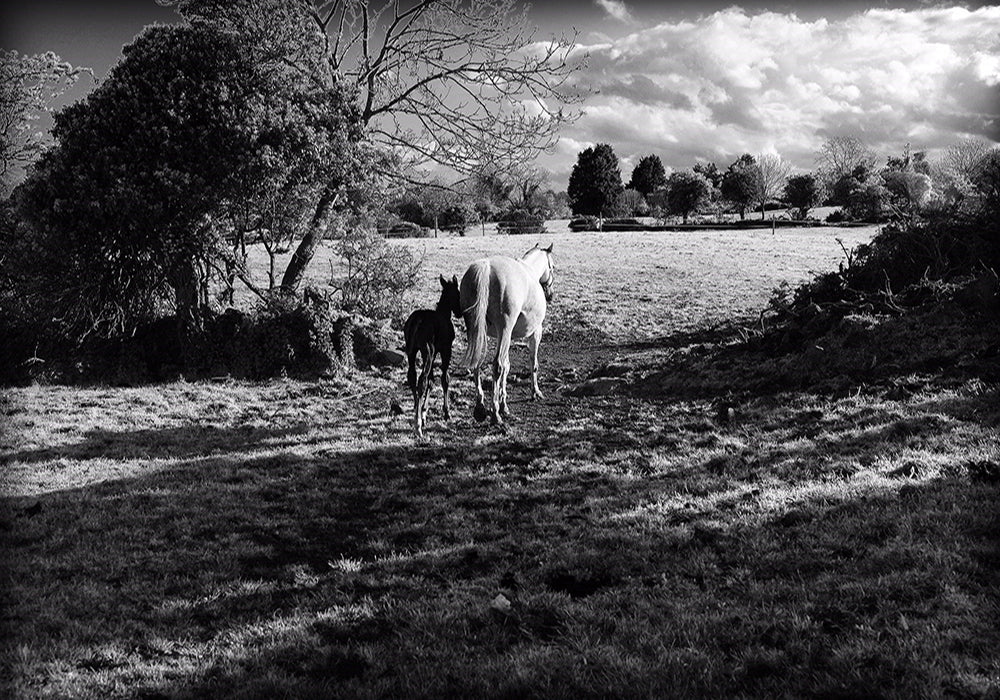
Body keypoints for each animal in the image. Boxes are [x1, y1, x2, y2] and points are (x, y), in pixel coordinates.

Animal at [403, 275, 462, 438]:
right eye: (458, 293)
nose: (460, 312)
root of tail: (417, 321)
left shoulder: (434, 352)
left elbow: (431, 380)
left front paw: (424, 412)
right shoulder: (445, 350)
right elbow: (444, 379)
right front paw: (447, 412)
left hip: (412, 351)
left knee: (413, 377)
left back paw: (416, 412)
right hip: (427, 351)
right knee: (421, 381)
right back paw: (417, 425)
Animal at [460, 243, 554, 425]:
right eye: (552, 267)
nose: (550, 294)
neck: (530, 270)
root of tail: (486, 267)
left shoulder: (505, 336)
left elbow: (507, 366)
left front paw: (504, 403)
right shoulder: (535, 332)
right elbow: (532, 363)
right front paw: (535, 392)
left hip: (478, 331)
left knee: (478, 362)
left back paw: (480, 408)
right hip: (504, 328)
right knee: (496, 365)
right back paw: (495, 414)